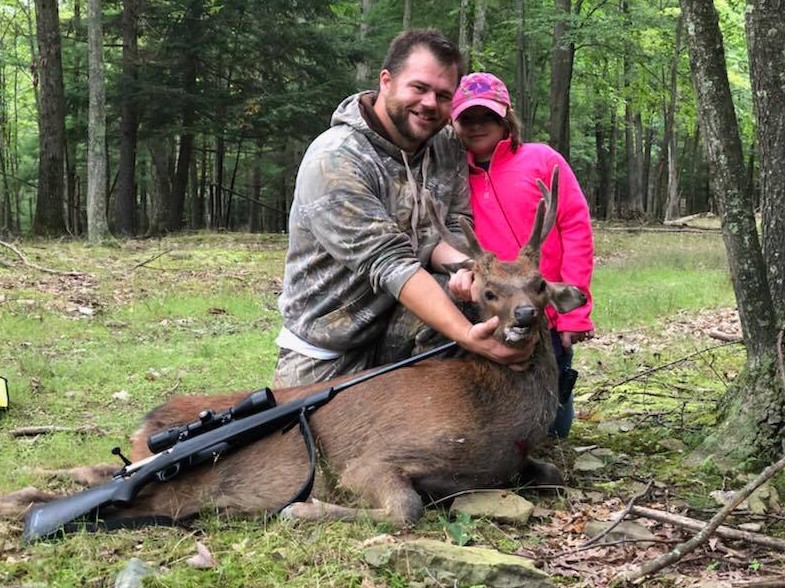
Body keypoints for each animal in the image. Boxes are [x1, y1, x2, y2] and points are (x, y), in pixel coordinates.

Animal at [1, 167, 588, 528]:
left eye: (539, 284)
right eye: (488, 292)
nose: (524, 317)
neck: (493, 420)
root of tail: (148, 423)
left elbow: (552, 473)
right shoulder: (371, 459)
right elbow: (406, 509)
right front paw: (301, 511)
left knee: (86, 475)